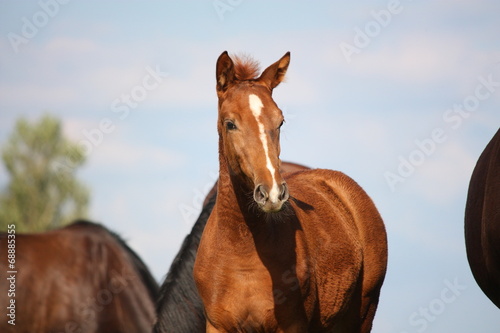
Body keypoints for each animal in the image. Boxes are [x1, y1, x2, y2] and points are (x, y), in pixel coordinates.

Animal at [193, 50, 388, 330]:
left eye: (281, 121)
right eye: (230, 124)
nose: (272, 193)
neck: (242, 254)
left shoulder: (292, 325)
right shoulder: (217, 326)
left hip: (363, 313)